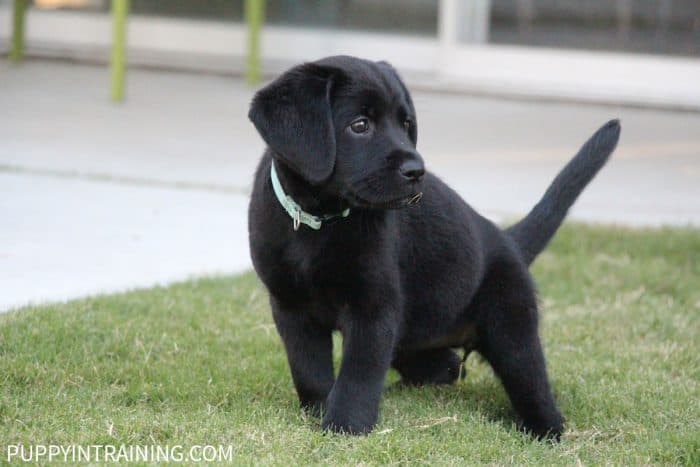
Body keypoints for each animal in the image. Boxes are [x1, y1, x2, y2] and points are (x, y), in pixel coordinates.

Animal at [249, 56, 620, 440]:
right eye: (360, 125)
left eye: (406, 123)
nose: (417, 170)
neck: (321, 220)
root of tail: (507, 240)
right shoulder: (290, 307)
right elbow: (309, 369)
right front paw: (320, 410)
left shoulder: (374, 308)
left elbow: (358, 374)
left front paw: (345, 426)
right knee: (448, 365)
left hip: (511, 327)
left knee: (533, 384)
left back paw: (541, 429)